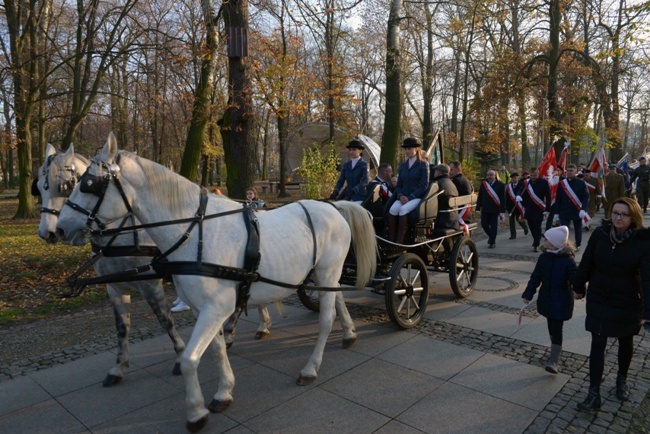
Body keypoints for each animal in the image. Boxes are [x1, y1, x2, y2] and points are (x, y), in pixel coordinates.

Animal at [33, 143, 185, 386]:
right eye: (38, 187)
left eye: (63, 186)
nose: (48, 233)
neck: (120, 233)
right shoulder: (114, 286)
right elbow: (122, 327)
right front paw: (119, 367)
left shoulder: (150, 285)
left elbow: (165, 320)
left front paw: (181, 357)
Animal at [58, 134, 378, 432]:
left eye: (88, 184)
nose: (60, 228)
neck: (193, 232)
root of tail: (333, 207)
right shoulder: (204, 309)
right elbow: (216, 349)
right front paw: (224, 392)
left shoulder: (216, 307)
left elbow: (190, 359)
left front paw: (196, 412)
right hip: (325, 274)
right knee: (337, 298)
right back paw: (349, 333)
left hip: (327, 270)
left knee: (326, 318)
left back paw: (311, 367)